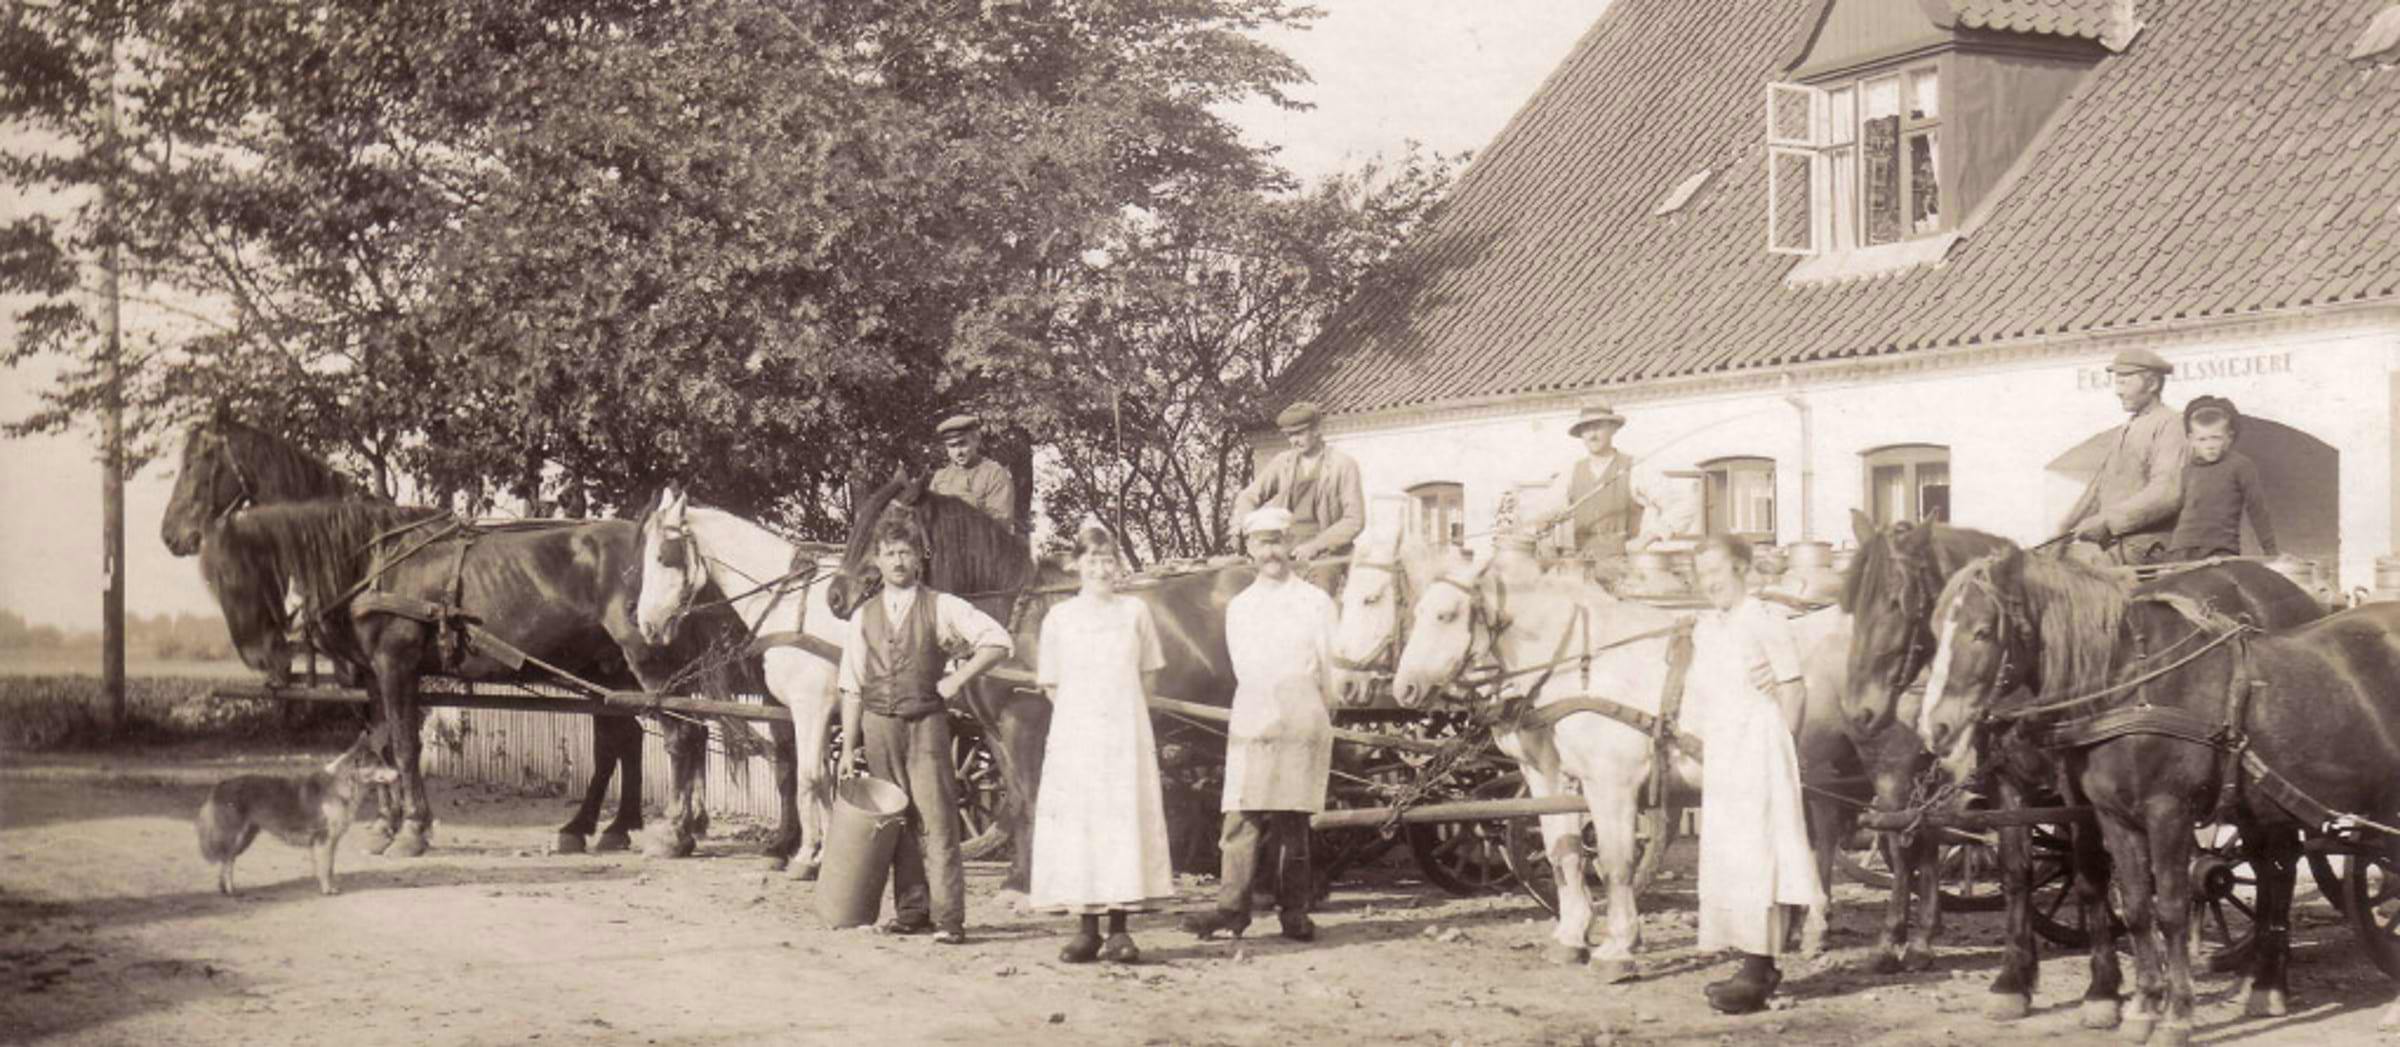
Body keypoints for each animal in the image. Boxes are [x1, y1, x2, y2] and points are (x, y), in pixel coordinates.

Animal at [196, 730, 398, 893]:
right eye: (379, 763)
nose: (398, 774)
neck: (344, 784)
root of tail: (220, 785)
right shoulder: (324, 840)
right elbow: (325, 867)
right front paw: (327, 890)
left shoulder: (332, 841)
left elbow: (331, 867)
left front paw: (331, 887)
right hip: (236, 837)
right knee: (227, 861)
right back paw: (231, 890)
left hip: (246, 836)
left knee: (226, 860)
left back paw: (224, 888)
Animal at [638, 487, 854, 878]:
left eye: (663, 557)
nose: (647, 625)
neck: (790, 604)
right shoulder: (818, 712)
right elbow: (824, 782)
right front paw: (827, 854)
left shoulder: (810, 708)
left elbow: (809, 779)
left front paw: (805, 857)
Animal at [1382, 552, 1843, 979]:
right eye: (1417, 613)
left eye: (1445, 615)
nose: (1404, 688)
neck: (1584, 665)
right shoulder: (1551, 777)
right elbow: (1563, 852)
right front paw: (1571, 937)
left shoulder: (1611, 783)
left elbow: (1615, 862)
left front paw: (1617, 949)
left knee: (1824, 837)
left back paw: (1814, 922)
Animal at [1910, 557, 2342, 1037]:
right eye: (1932, 628)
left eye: (1982, 631)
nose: (1933, 727)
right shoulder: (2012, 785)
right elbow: (2018, 875)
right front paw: (2012, 982)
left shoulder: (2078, 793)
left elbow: (2091, 876)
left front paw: (2102, 992)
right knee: (2269, 868)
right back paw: (2258, 975)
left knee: (2279, 871)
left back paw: (2270, 980)